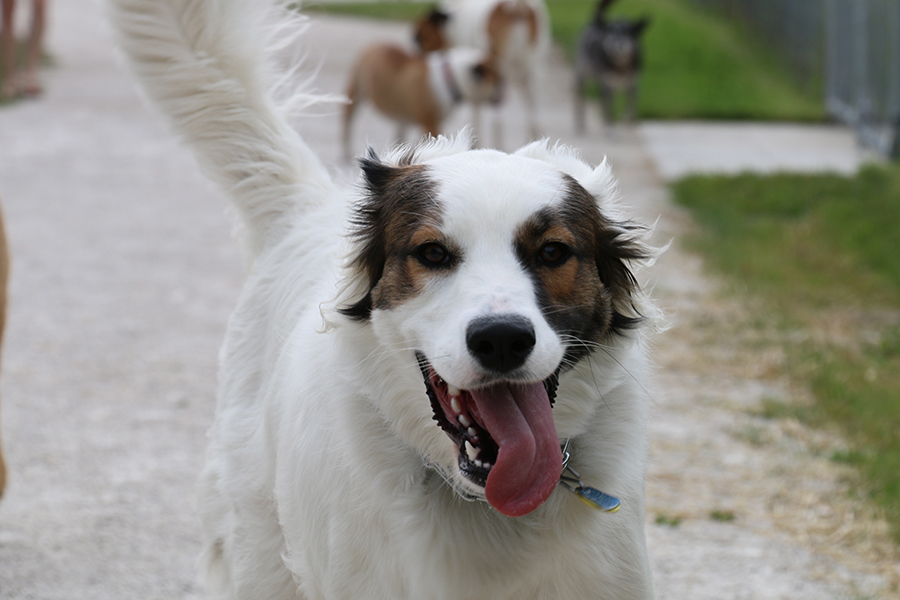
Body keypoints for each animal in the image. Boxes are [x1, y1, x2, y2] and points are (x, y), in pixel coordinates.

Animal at [342, 43, 500, 161]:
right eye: (495, 81)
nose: (501, 94)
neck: (451, 77)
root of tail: (373, 45)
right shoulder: (429, 121)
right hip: (356, 90)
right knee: (348, 122)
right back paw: (347, 150)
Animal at [414, 0, 548, 148]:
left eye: (420, 38)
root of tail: (516, 8)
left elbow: (476, 112)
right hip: (533, 72)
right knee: (535, 115)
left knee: (498, 119)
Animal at [576, 0, 648, 132]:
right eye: (611, 33)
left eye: (628, 32)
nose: (617, 44)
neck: (621, 65)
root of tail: (595, 23)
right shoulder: (607, 86)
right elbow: (608, 110)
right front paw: (609, 129)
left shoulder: (633, 86)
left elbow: (630, 110)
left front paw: (628, 125)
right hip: (582, 76)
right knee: (579, 100)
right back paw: (580, 124)